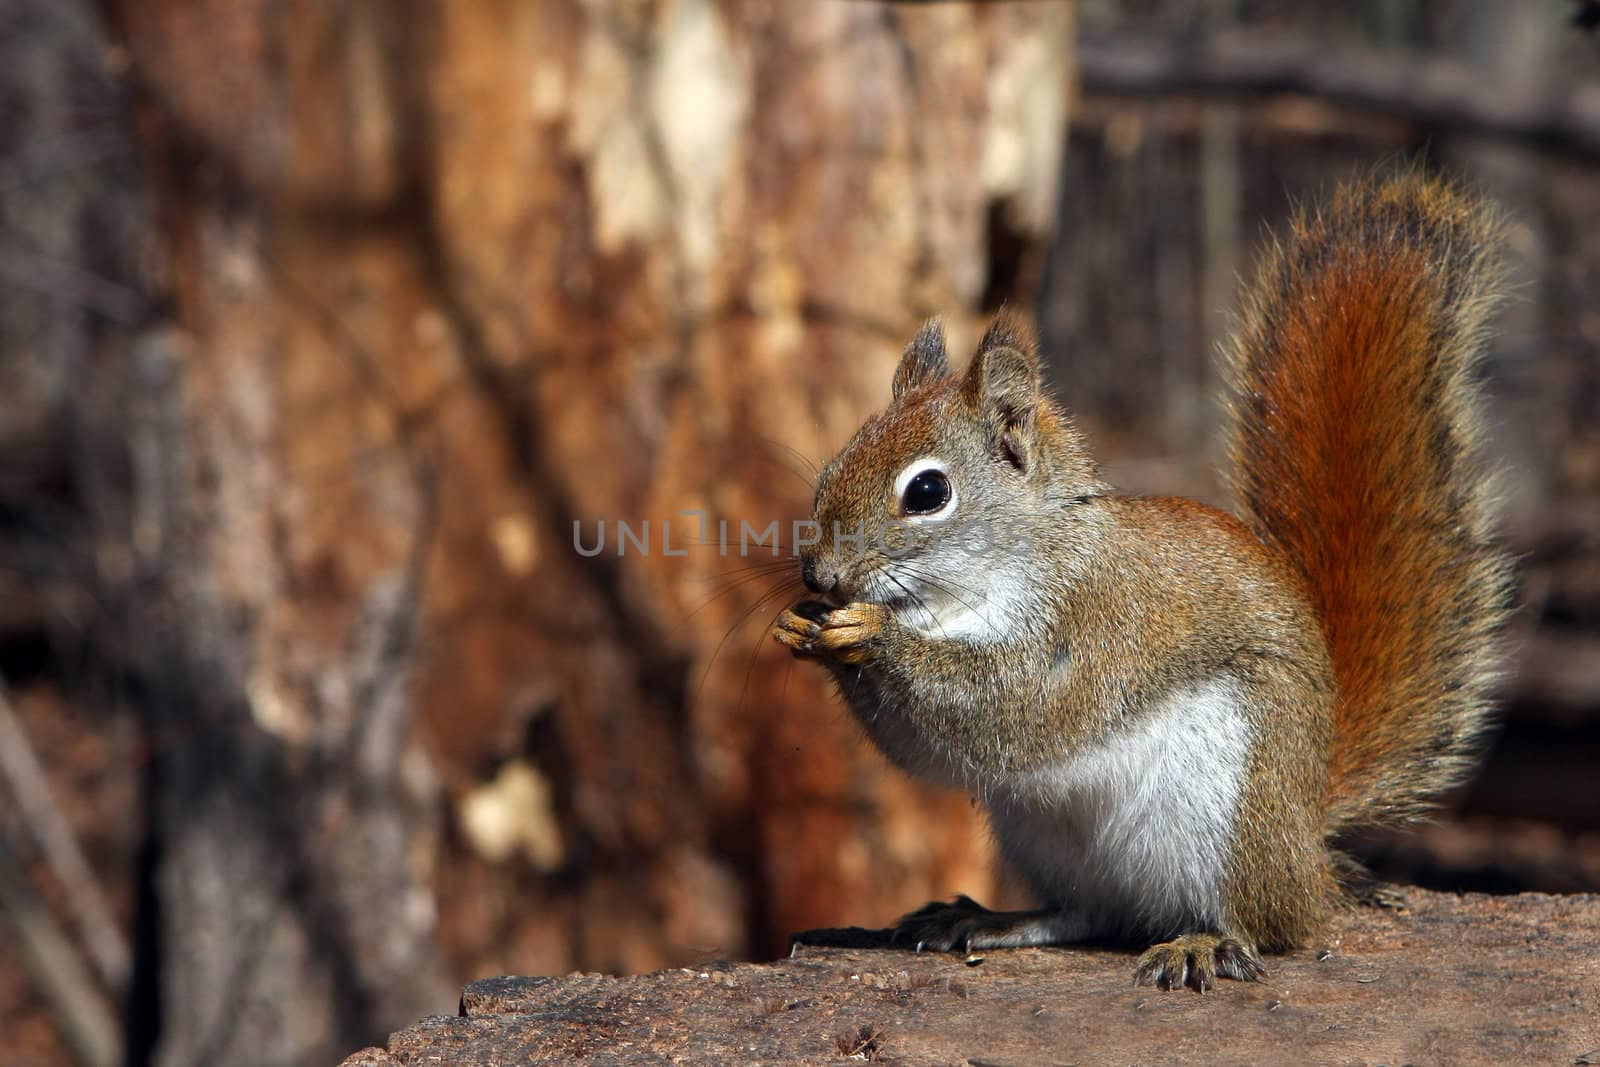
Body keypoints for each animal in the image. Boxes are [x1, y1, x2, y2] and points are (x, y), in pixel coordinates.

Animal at [774, 173, 1510, 991]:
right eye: (836, 462)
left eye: (928, 492)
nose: (819, 571)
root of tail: (1307, 839)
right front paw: (803, 624)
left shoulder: (1093, 624)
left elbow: (1005, 703)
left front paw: (870, 634)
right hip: (1045, 835)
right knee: (1091, 914)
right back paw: (992, 919)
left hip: (1230, 812)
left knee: (1268, 925)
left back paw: (1207, 942)